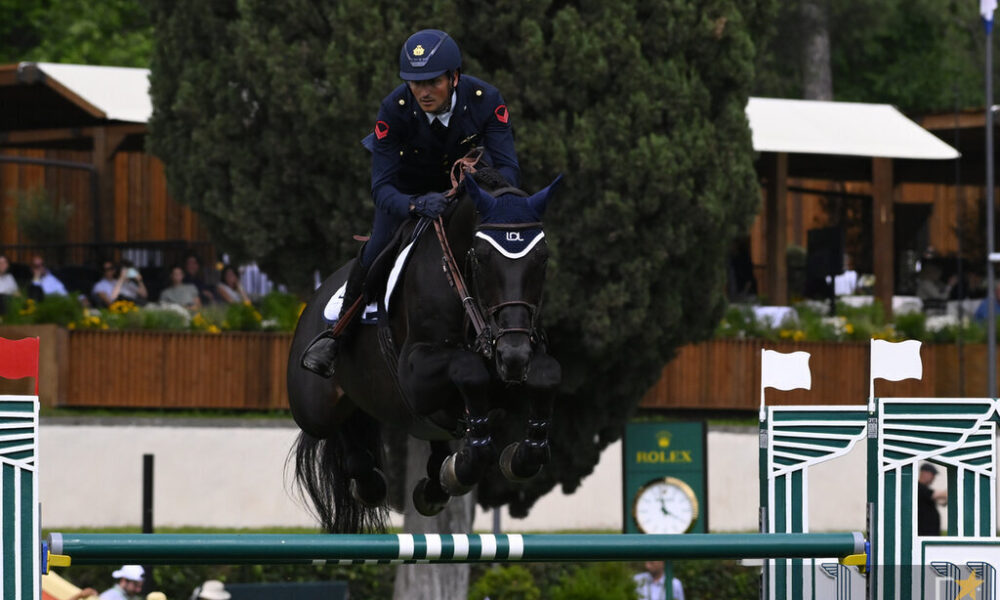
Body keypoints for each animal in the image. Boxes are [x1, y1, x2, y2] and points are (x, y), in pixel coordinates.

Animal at [287, 169, 563, 533]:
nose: (513, 356)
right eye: (481, 257)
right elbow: (468, 369)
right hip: (312, 408)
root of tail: (313, 299)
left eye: (542, 258)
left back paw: (435, 483)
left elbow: (547, 374)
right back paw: (371, 482)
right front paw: (468, 461)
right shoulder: (413, 375)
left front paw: (521, 455)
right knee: (337, 429)